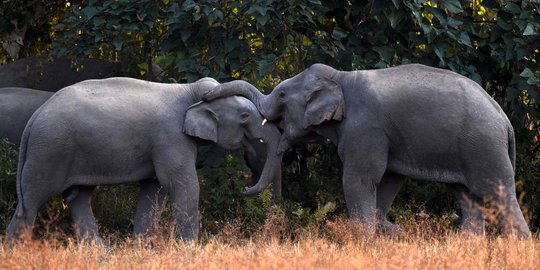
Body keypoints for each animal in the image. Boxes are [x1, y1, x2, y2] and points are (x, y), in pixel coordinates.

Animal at [7, 76, 282, 243]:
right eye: (245, 115)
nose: (246, 188)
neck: (189, 89)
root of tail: (35, 117)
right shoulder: (170, 137)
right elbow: (182, 185)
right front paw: (191, 250)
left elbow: (155, 191)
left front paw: (140, 248)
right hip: (49, 151)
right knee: (31, 200)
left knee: (78, 197)